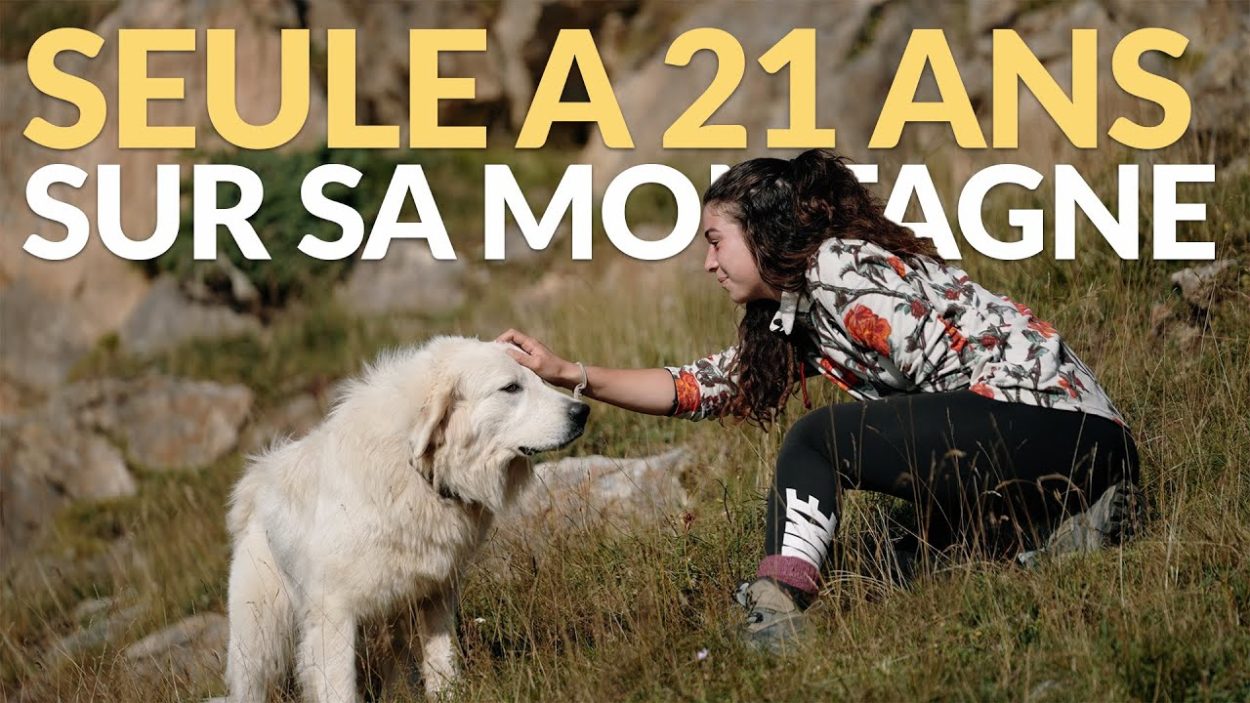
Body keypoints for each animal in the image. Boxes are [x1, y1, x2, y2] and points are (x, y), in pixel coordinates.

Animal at [223, 337, 585, 695]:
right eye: (511, 387)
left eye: (539, 378)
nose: (582, 411)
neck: (413, 468)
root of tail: (259, 477)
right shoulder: (333, 615)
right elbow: (339, 688)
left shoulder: (436, 598)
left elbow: (443, 668)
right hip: (259, 642)